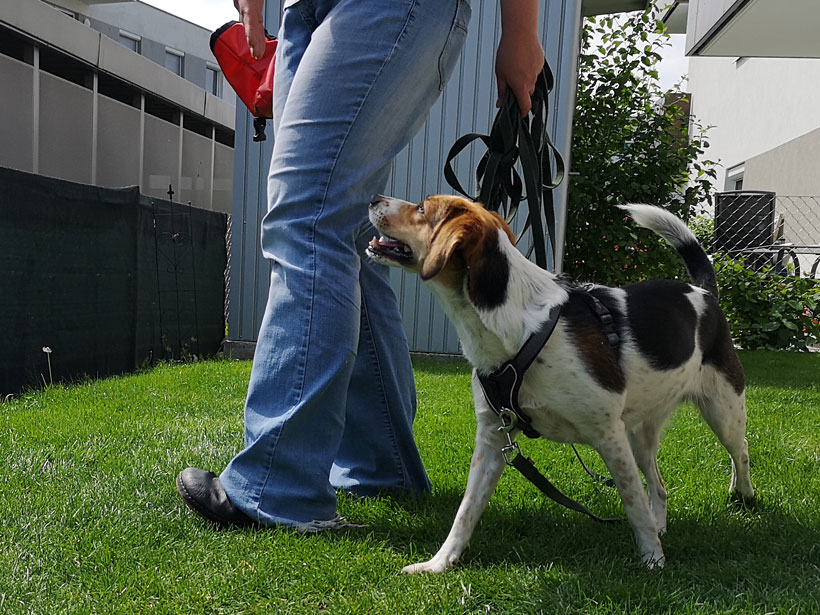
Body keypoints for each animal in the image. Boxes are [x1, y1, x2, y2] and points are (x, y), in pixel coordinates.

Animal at [366, 194, 756, 572]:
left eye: (421, 208)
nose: (373, 199)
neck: (515, 325)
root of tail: (705, 293)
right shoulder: (493, 437)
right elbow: (466, 510)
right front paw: (441, 562)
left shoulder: (608, 435)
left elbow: (633, 504)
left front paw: (653, 560)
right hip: (641, 433)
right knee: (658, 488)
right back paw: (663, 523)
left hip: (722, 411)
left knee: (740, 451)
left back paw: (745, 496)